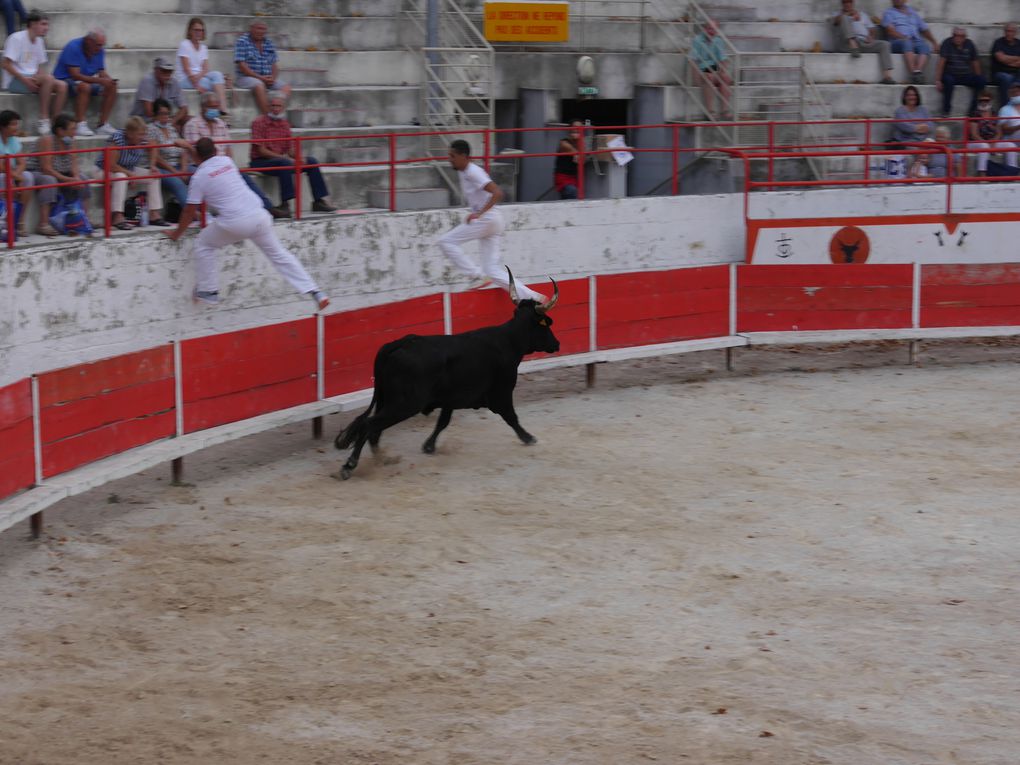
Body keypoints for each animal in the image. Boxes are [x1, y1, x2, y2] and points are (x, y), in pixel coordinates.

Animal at [332, 273, 558, 481]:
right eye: (545, 325)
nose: (557, 344)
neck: (508, 341)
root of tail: (398, 343)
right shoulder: (502, 392)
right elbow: (511, 417)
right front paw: (529, 438)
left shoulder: (451, 398)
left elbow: (443, 421)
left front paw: (429, 446)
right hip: (404, 404)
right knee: (369, 426)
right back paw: (349, 466)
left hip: (385, 400)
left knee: (374, 429)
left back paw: (382, 459)